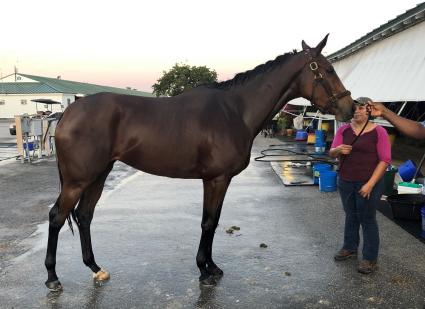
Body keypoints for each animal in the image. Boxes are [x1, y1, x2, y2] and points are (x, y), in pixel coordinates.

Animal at [44, 35, 352, 290]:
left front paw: (211, 267)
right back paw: (52, 278)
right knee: (57, 216)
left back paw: (96, 268)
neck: (234, 111)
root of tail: (69, 110)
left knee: (84, 216)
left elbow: (213, 221)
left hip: (98, 175)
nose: (350, 108)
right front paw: (204, 271)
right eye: (328, 70)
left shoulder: (219, 180)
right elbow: (208, 223)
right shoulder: (216, 179)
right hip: (77, 180)